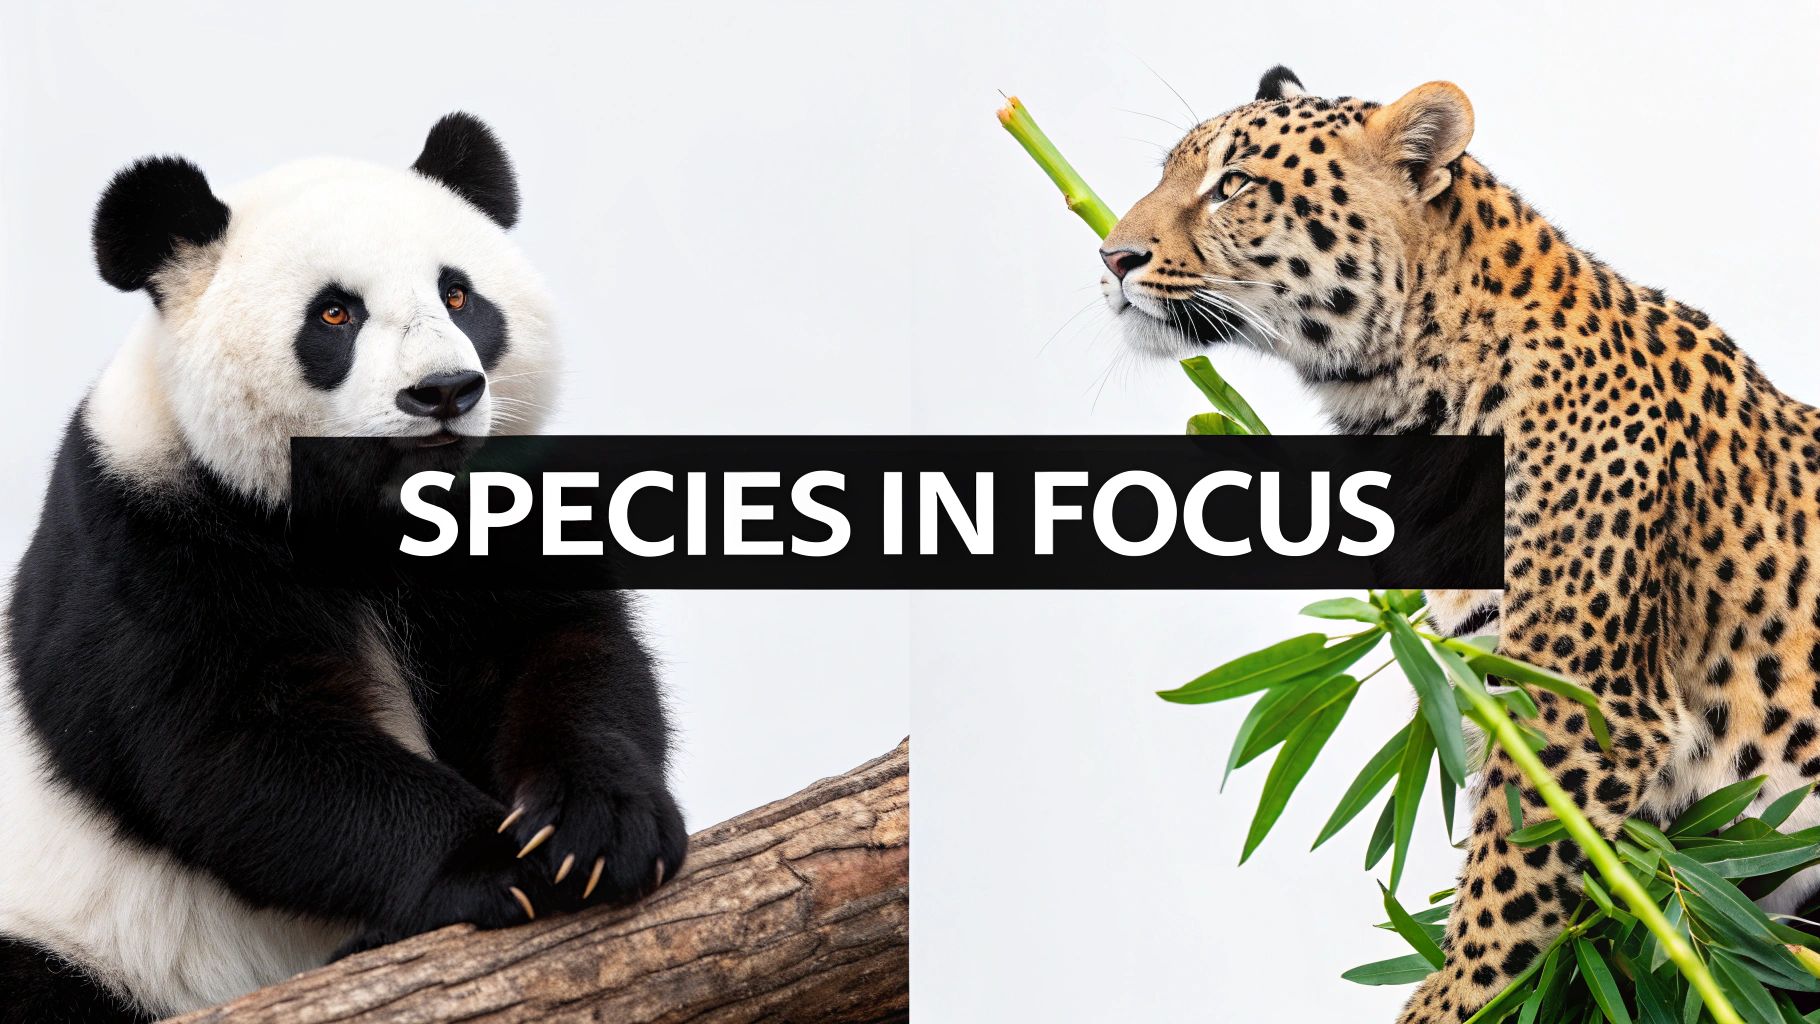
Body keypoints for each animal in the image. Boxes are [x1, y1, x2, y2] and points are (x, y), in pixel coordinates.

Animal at [0, 114, 687, 1022]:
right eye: (335, 313)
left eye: (459, 295)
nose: (444, 391)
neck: (378, 519)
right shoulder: (150, 542)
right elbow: (239, 747)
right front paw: (496, 862)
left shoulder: (499, 513)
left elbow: (565, 652)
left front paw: (596, 827)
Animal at [1099, 64, 1820, 1021]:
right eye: (1169, 173)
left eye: (1234, 185)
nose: (1111, 257)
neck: (1409, 394)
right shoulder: (1487, 681)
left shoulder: (1581, 706)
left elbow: (1506, 885)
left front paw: (1447, 999)